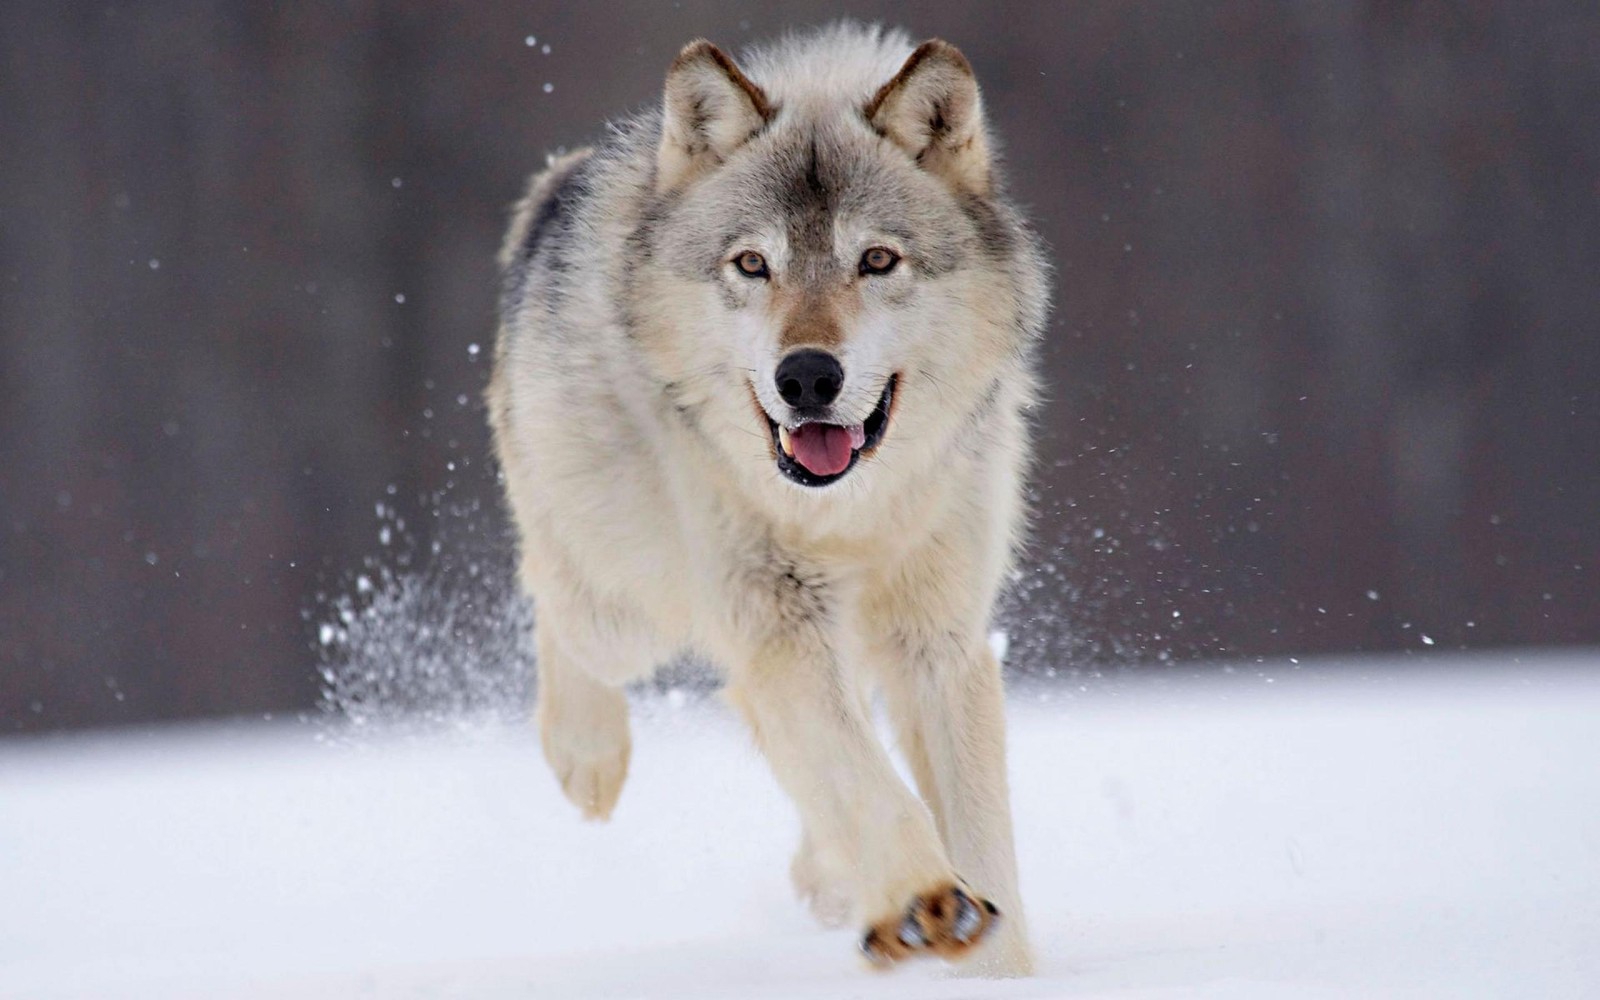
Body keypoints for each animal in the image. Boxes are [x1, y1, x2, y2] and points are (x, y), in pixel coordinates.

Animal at [486, 25, 1049, 972]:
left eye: (877, 260)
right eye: (752, 264)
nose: (808, 377)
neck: (848, 514)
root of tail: (560, 185)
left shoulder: (939, 642)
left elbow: (980, 839)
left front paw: (991, 960)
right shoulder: (777, 621)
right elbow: (868, 783)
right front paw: (924, 900)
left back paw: (829, 879)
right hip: (627, 605)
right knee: (554, 599)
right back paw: (586, 757)